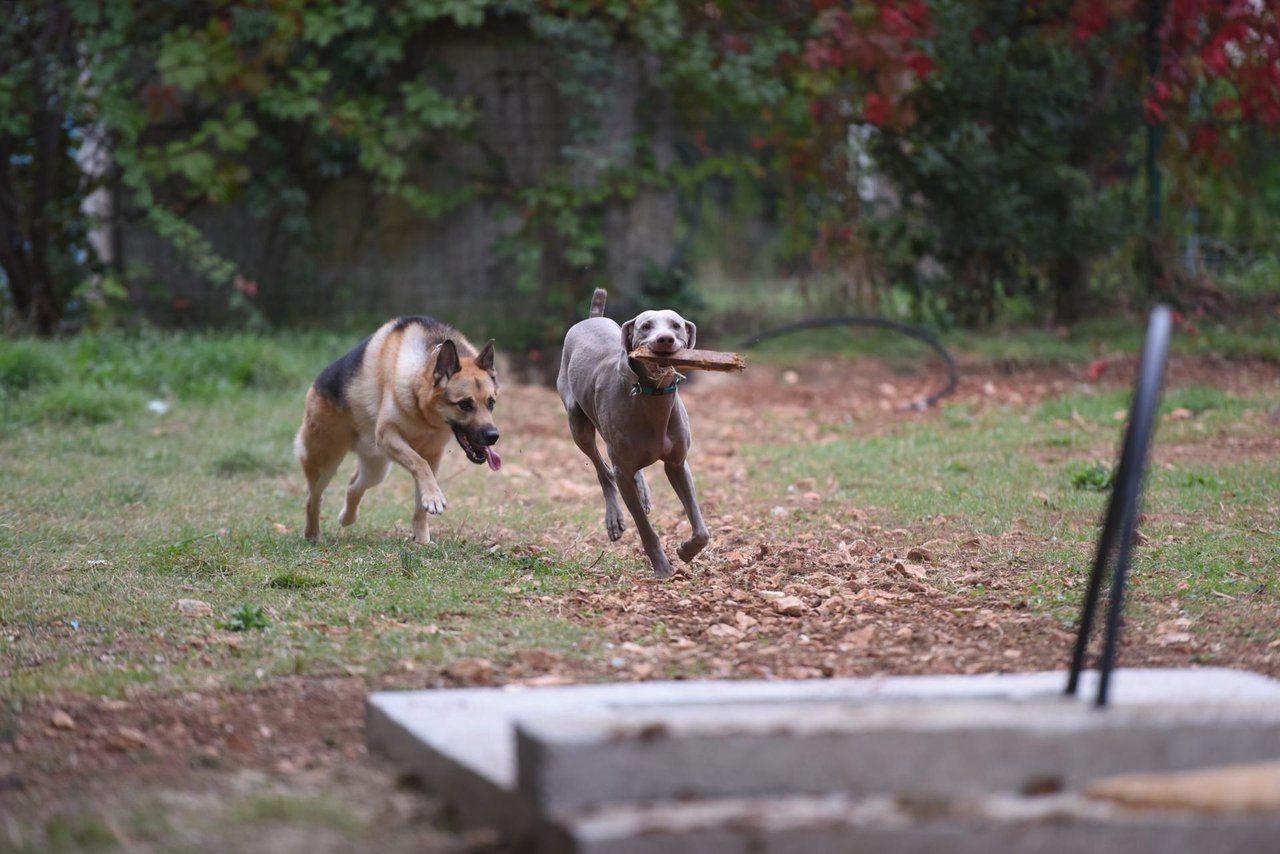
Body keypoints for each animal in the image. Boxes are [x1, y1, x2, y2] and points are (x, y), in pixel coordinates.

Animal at [296, 317, 501, 545]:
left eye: (491, 403)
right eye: (465, 405)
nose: (493, 437)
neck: (425, 416)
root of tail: (316, 383)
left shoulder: (432, 455)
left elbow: (421, 504)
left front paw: (422, 539)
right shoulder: (388, 437)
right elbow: (419, 464)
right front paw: (434, 498)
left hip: (376, 469)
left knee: (353, 486)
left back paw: (347, 518)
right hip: (325, 462)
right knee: (313, 497)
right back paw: (313, 534)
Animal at [558, 289, 711, 581]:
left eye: (676, 325)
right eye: (646, 326)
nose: (665, 339)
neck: (653, 399)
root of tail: (591, 318)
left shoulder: (677, 465)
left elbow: (701, 530)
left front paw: (686, 551)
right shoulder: (623, 472)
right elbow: (645, 527)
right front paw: (662, 567)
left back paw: (644, 493)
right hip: (578, 425)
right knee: (603, 470)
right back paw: (614, 519)